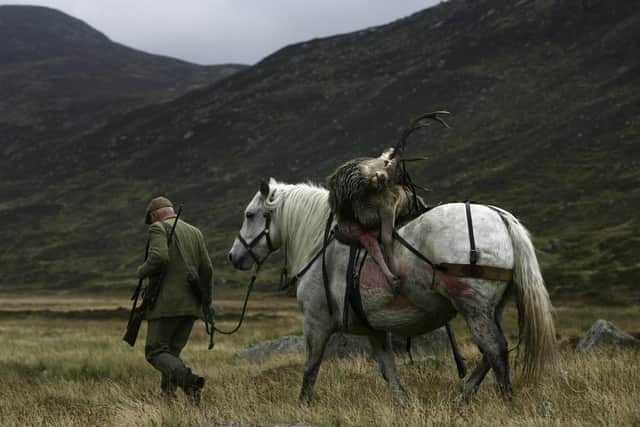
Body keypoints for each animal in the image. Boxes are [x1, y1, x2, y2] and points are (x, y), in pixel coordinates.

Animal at [228, 180, 556, 404]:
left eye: (249, 214)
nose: (234, 257)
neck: (319, 244)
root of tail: (500, 216)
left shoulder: (316, 322)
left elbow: (311, 367)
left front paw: (303, 405)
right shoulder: (374, 328)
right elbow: (388, 370)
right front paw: (404, 402)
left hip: (474, 307)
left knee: (495, 350)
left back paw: (504, 400)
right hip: (490, 309)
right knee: (492, 351)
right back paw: (465, 393)